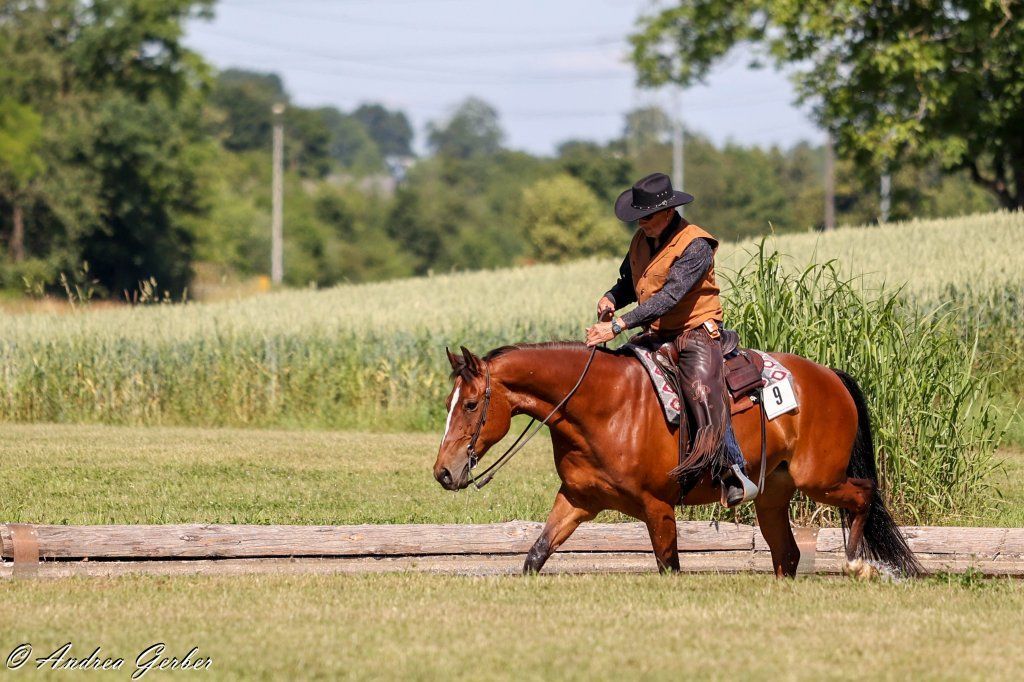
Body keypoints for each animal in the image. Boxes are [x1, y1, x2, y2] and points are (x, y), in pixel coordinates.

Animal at [432, 342, 921, 578]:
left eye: (471, 404)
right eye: (448, 403)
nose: (443, 472)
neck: (605, 405)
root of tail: (831, 377)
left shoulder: (657, 505)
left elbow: (669, 565)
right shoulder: (577, 500)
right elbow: (536, 554)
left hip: (819, 478)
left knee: (863, 495)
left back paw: (857, 562)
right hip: (773, 497)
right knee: (788, 554)